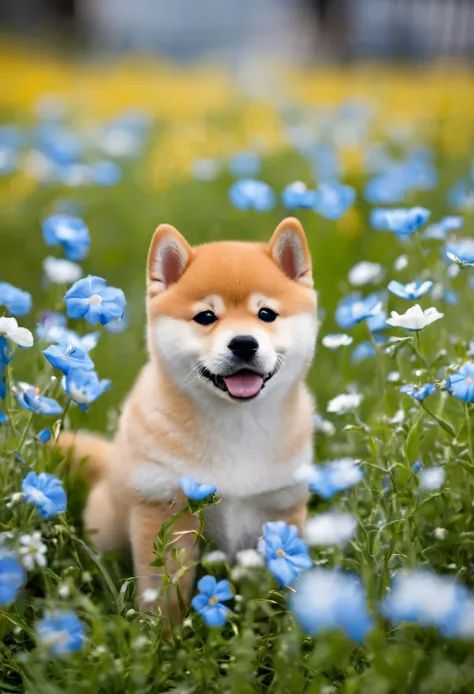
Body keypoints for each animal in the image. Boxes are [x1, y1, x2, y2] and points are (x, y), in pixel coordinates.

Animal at [60, 220, 318, 624]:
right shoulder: (167, 509)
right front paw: (163, 636)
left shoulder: (280, 507)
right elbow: (165, 592)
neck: (237, 426)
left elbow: (282, 575)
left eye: (266, 314)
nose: (243, 343)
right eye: (206, 317)